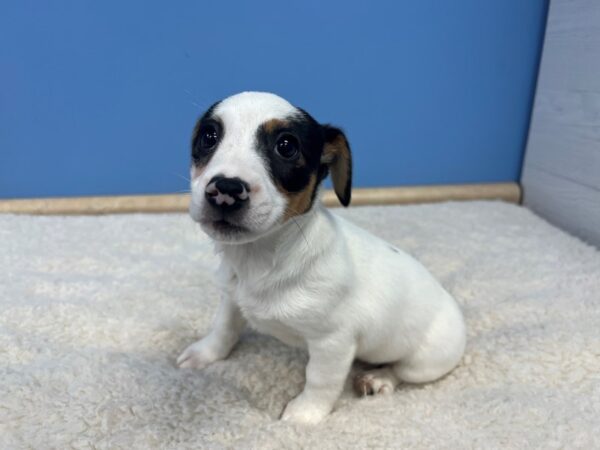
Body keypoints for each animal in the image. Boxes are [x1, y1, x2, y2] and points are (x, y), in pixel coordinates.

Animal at [176, 92, 466, 426]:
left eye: (286, 146)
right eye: (209, 137)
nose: (225, 188)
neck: (261, 258)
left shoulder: (332, 342)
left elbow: (320, 381)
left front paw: (304, 415)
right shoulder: (231, 299)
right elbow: (223, 328)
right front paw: (205, 353)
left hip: (424, 361)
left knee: (401, 371)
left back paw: (378, 379)